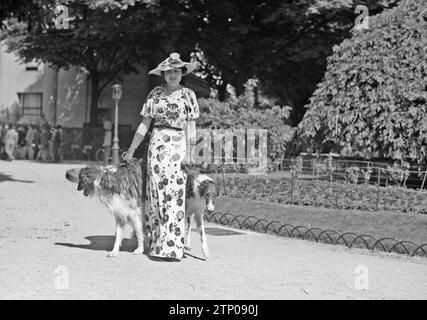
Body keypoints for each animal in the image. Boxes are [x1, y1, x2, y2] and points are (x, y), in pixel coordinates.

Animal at [67, 161, 217, 258]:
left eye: (80, 179)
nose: (78, 188)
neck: (105, 179)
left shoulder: (134, 212)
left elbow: (139, 232)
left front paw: (139, 249)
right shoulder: (120, 213)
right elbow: (119, 236)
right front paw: (114, 251)